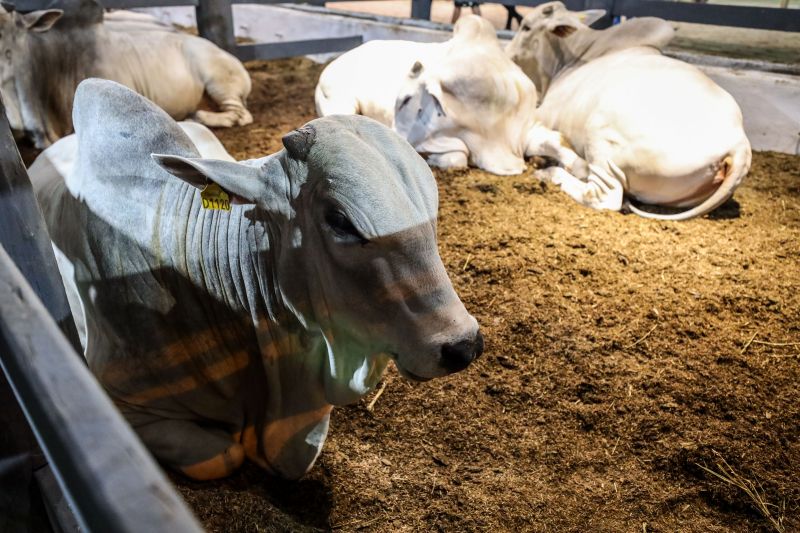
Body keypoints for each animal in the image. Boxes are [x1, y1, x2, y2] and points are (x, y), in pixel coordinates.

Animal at [316, 14, 584, 176]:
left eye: (406, 99)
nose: (392, 136)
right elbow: (457, 157)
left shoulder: (527, 130)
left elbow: (560, 143)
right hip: (339, 105)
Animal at [506, 1, 752, 218]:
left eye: (526, 27)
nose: (507, 53)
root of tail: (738, 143)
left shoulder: (541, 115)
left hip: (600, 137)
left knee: (602, 195)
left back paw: (550, 173)